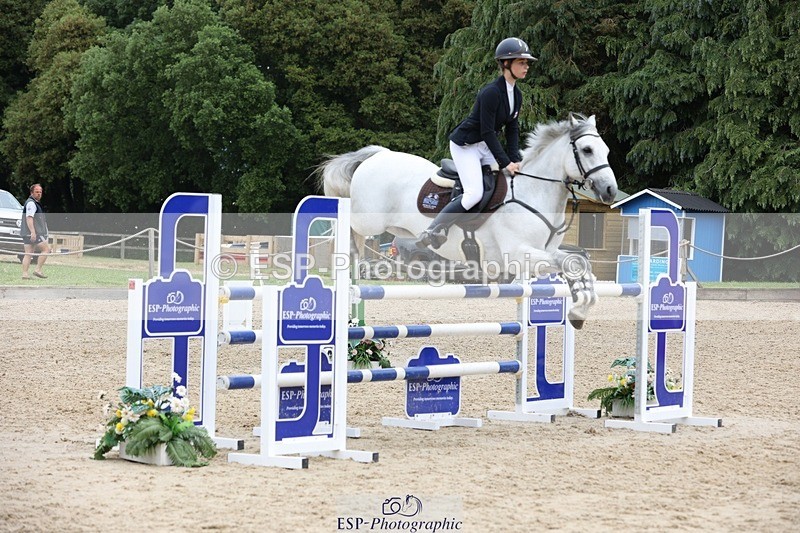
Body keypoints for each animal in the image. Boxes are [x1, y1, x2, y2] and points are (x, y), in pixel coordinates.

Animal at [317, 113, 618, 328]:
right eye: (587, 150)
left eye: (605, 150)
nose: (610, 191)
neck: (534, 191)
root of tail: (378, 154)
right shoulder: (519, 253)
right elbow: (573, 262)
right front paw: (580, 303)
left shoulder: (543, 254)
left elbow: (578, 261)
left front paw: (580, 307)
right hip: (367, 218)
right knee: (347, 225)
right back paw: (349, 252)